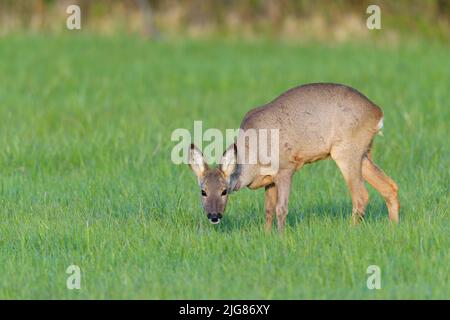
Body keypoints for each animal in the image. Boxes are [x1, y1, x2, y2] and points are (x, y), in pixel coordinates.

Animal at [188, 84, 400, 231]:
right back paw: (393, 228)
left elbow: (281, 209)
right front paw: (266, 235)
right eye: (203, 191)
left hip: (346, 151)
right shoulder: (269, 180)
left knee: (361, 196)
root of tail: (378, 113)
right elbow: (268, 210)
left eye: (224, 191)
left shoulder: (286, 168)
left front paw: (281, 237)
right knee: (390, 187)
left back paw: (349, 231)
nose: (214, 216)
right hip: (363, 153)